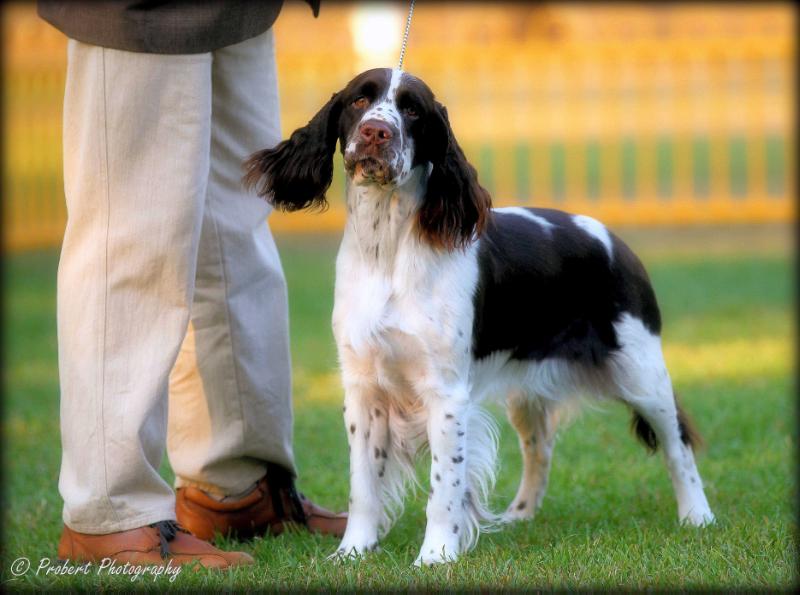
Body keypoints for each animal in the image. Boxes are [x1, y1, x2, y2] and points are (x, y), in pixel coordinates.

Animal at [242, 67, 712, 564]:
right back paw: (519, 516)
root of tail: (613, 239)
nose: (376, 132)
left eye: (412, 109)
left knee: (677, 442)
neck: (387, 249)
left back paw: (697, 516)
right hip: (527, 392)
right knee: (540, 448)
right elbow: (364, 485)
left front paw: (436, 556)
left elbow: (444, 485)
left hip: (641, 372)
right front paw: (353, 552)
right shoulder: (364, 388)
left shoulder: (446, 393)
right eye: (358, 101)